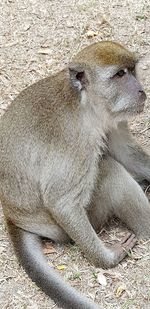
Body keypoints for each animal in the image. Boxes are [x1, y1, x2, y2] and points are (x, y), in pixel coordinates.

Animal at [0, 41, 150, 308]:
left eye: (132, 70)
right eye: (119, 75)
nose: (141, 90)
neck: (86, 105)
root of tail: (12, 216)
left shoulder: (112, 119)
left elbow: (127, 154)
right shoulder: (76, 140)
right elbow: (62, 203)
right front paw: (108, 259)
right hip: (80, 222)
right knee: (109, 170)